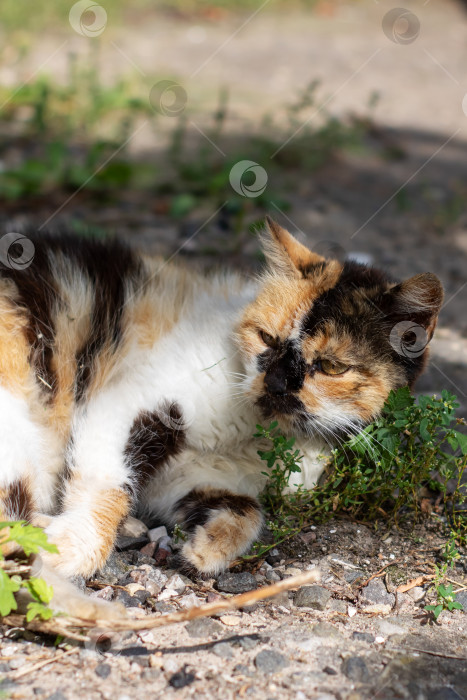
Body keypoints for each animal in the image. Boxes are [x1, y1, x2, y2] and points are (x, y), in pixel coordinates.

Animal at [0, 217, 444, 612]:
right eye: (267, 338)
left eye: (331, 366)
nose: (276, 384)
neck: (256, 434)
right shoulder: (123, 403)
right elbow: (108, 484)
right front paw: (71, 547)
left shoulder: (187, 477)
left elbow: (248, 510)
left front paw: (206, 549)